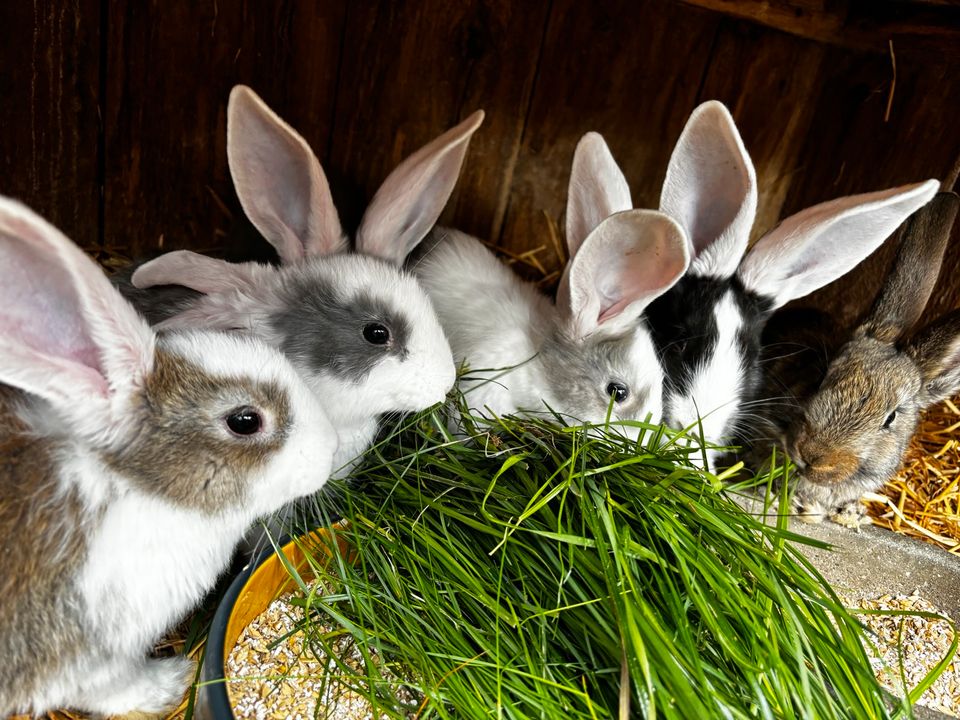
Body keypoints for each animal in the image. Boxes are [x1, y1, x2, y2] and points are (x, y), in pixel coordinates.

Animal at [0, 194, 342, 716]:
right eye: (245, 420)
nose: (330, 450)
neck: (139, 490)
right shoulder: (82, 660)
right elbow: (113, 688)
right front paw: (170, 682)